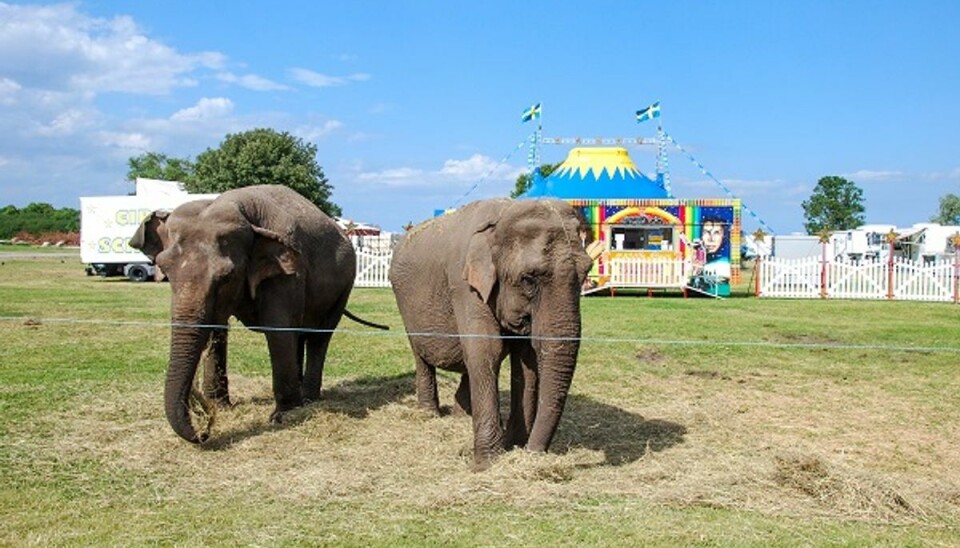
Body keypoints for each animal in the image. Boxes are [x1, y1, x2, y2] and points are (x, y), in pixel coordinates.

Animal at [133, 186, 374, 444]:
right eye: (164, 269)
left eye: (226, 276)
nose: (204, 431)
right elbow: (217, 328)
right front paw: (221, 405)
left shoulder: (288, 271)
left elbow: (278, 329)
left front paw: (283, 416)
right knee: (299, 334)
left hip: (343, 287)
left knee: (319, 336)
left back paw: (309, 400)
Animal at [390, 199, 592, 468]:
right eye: (528, 279)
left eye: (586, 273)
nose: (533, 452)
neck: (502, 215)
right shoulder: (464, 285)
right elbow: (486, 349)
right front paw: (487, 463)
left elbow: (525, 359)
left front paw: (513, 445)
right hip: (404, 306)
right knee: (421, 356)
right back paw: (428, 413)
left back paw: (461, 415)